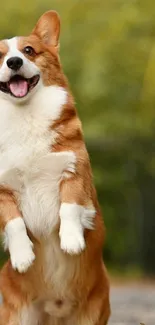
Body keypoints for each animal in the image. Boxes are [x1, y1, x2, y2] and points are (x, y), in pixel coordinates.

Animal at [0, 10, 110, 324]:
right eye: (0, 56)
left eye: (28, 51)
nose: (14, 62)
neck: (24, 116)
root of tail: (56, 309)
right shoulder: (2, 191)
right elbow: (13, 222)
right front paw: (23, 257)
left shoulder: (74, 172)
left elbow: (69, 207)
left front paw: (71, 241)